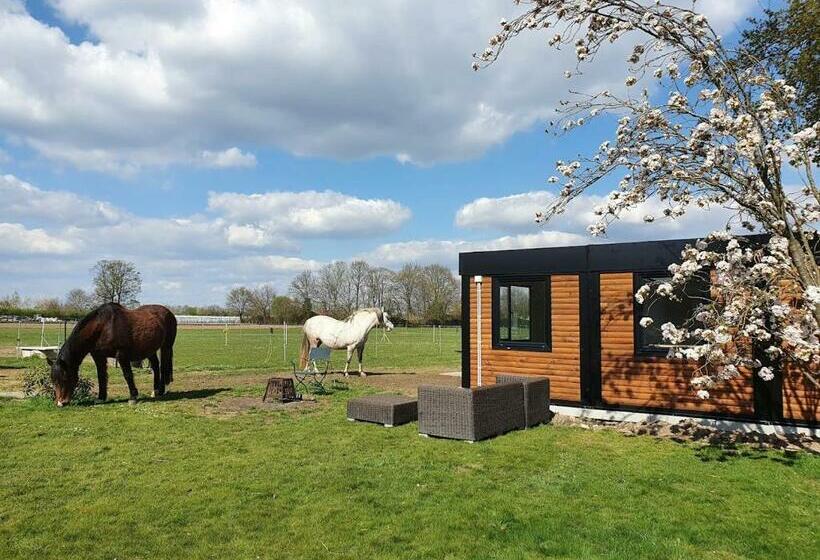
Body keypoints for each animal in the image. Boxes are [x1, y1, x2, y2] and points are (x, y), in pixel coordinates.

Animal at [48, 303, 177, 406]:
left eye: (65, 378)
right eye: (53, 380)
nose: (61, 403)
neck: (104, 326)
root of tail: (168, 312)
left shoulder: (122, 355)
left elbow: (128, 375)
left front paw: (133, 397)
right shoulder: (98, 356)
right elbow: (101, 376)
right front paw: (101, 398)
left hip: (166, 347)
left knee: (163, 367)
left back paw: (162, 390)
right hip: (149, 349)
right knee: (155, 366)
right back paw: (155, 391)